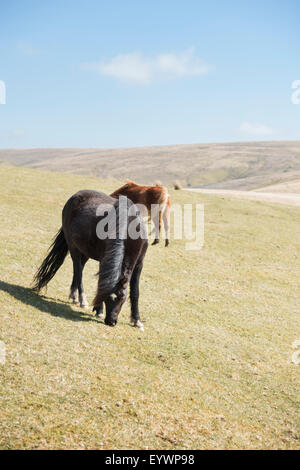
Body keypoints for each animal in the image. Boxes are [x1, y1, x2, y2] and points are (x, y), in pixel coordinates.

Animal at [32, 189, 148, 328]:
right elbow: (101, 285)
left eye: (121, 298)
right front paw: (99, 310)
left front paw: (137, 320)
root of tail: (75, 196)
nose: (111, 322)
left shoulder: (139, 264)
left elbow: (135, 292)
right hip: (74, 248)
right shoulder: (104, 259)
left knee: (80, 268)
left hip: (85, 252)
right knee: (78, 271)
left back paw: (74, 296)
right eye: (107, 298)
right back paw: (82, 300)